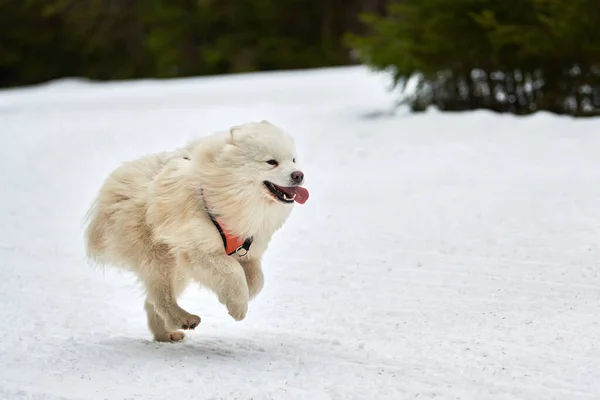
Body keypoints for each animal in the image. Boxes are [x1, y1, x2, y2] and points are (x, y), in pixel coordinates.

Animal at [83, 121, 310, 340]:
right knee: (161, 295)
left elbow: (257, 280)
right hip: (160, 255)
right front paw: (237, 306)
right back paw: (184, 319)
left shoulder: (249, 248)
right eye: (271, 162)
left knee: (153, 300)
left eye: (293, 160)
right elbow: (233, 271)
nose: (299, 175)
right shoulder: (197, 248)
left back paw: (166, 334)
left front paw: (241, 295)